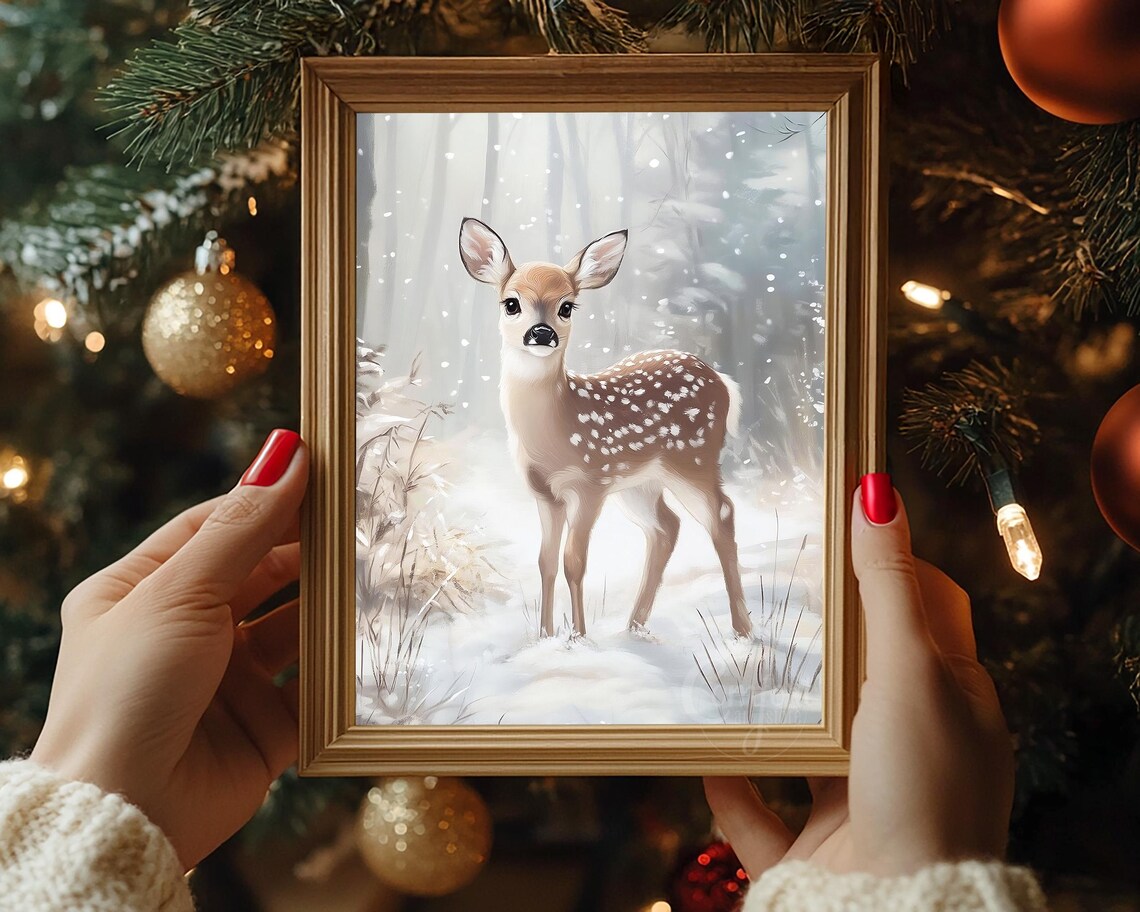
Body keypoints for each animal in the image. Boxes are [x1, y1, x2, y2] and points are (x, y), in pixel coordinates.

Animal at [459, 217, 752, 641]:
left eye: (567, 306)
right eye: (511, 303)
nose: (541, 333)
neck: (553, 428)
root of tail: (723, 381)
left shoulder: (590, 483)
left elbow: (574, 561)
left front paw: (578, 637)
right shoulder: (545, 493)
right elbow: (546, 562)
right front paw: (545, 636)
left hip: (693, 459)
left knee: (722, 515)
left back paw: (743, 629)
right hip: (640, 483)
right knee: (666, 527)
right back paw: (634, 626)